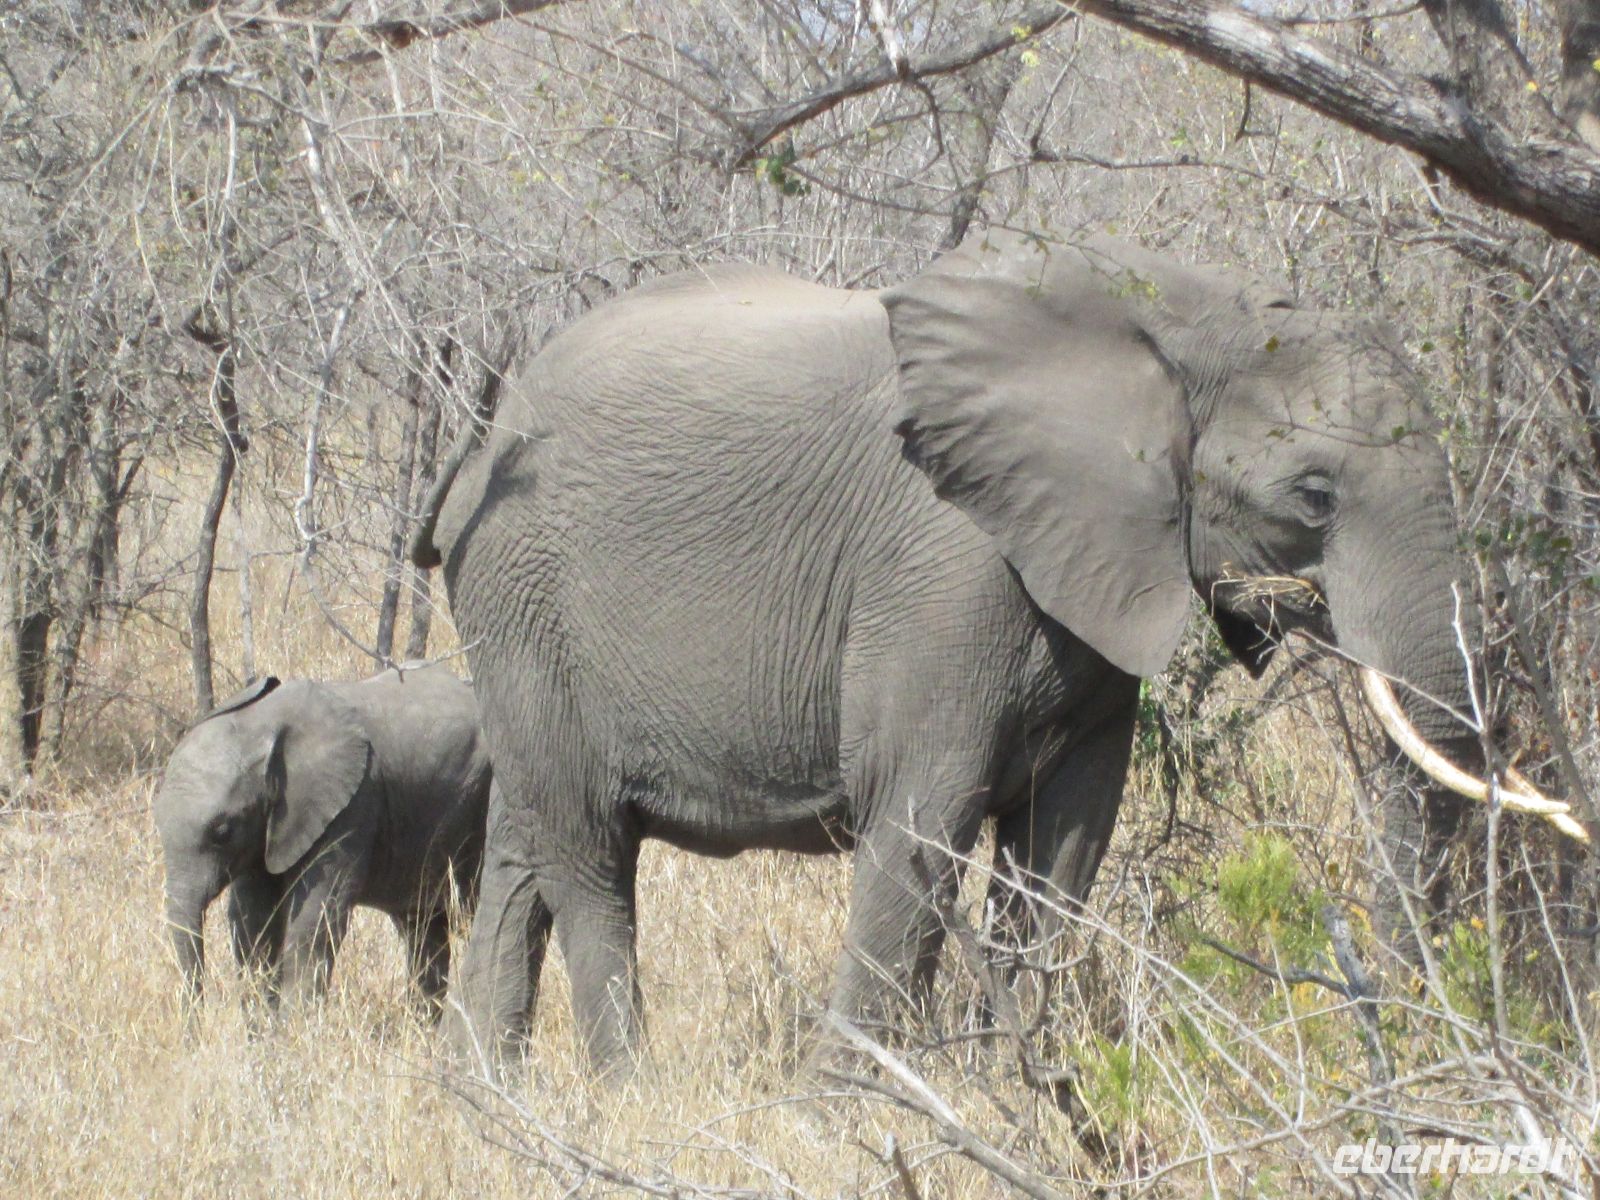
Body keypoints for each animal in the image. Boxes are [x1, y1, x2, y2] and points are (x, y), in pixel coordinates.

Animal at [153, 664, 493, 1016]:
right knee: (425, 929)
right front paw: (262, 1030)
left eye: (222, 832)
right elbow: (251, 922)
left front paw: (295, 1027)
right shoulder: (266, 831)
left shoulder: (352, 805)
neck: (261, 724)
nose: (193, 1024)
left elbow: (314, 919)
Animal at [412, 227, 1580, 1076]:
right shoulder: (946, 565)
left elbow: (1064, 843)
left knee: (523, 848)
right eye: (1314, 496)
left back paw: (486, 1100)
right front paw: (858, 1109)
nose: (1405, 1044)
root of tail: (479, 445)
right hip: (526, 594)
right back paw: (629, 1094)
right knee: (588, 853)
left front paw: (1020, 1089)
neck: (1176, 315)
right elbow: (917, 817)